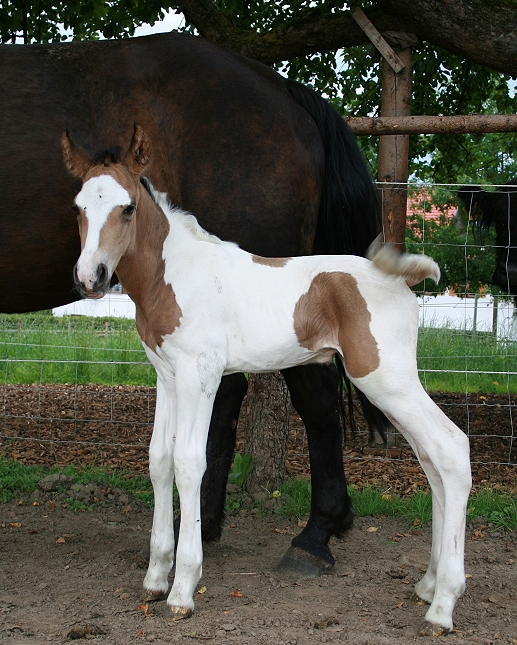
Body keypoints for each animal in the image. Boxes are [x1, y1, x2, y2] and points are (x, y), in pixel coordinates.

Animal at [61, 124, 472, 632]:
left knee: (451, 448)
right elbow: (159, 460)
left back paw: (443, 604)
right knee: (431, 460)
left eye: (128, 207)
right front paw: (156, 577)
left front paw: (183, 588)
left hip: (386, 378)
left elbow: (189, 463)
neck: (173, 274)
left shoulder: (201, 374)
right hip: (391, 387)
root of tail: (400, 280)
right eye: (79, 207)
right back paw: (428, 585)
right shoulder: (166, 375)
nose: (91, 277)